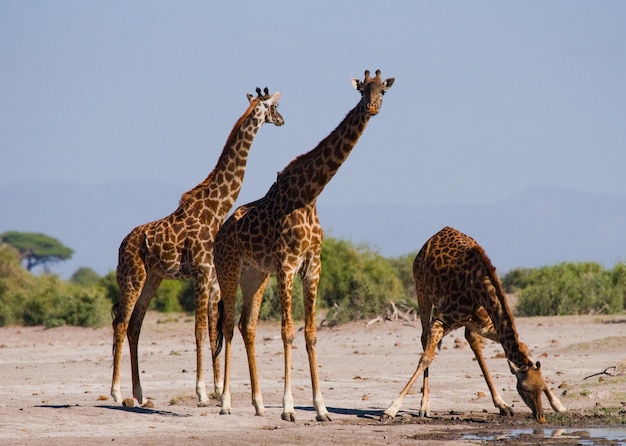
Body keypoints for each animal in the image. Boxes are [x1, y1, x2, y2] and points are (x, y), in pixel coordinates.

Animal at [110, 87, 282, 408]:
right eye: (274, 107)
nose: (282, 120)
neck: (215, 209)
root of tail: (122, 245)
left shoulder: (213, 279)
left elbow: (215, 329)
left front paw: (217, 389)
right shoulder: (201, 274)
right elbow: (200, 329)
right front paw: (202, 391)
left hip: (153, 277)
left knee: (135, 324)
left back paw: (139, 393)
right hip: (132, 277)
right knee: (121, 322)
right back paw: (115, 391)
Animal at [212, 69, 392, 422]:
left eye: (384, 91)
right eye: (363, 90)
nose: (372, 107)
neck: (309, 195)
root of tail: (221, 230)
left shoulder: (312, 267)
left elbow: (310, 333)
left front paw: (321, 408)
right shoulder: (286, 266)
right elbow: (287, 332)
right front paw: (288, 408)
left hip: (255, 275)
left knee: (246, 325)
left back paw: (257, 404)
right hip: (228, 269)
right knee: (226, 325)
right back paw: (225, 403)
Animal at [378, 228, 564, 424]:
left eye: (542, 387)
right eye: (525, 389)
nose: (541, 418)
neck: (479, 289)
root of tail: (432, 238)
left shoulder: (486, 325)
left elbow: (523, 347)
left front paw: (558, 405)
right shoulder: (440, 321)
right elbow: (426, 358)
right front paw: (391, 410)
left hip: (469, 322)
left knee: (471, 341)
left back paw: (502, 405)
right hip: (421, 290)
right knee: (424, 338)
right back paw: (424, 406)